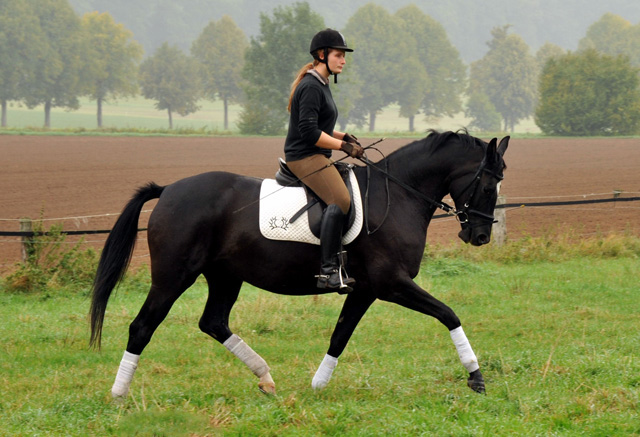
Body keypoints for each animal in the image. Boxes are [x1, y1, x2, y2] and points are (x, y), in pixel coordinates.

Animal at [91, 129, 510, 396]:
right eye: (490, 185)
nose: (480, 237)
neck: (397, 195)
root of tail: (169, 190)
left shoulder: (366, 290)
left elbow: (340, 335)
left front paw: (317, 385)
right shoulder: (392, 283)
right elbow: (449, 314)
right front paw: (476, 377)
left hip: (225, 277)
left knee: (213, 322)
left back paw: (265, 378)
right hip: (173, 278)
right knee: (142, 327)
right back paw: (118, 393)